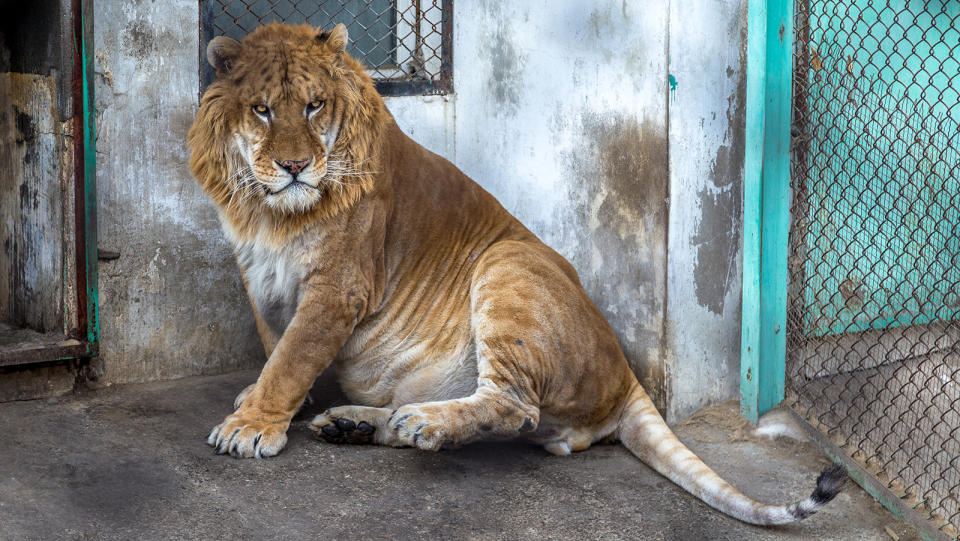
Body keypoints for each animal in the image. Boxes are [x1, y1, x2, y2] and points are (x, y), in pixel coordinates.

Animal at [184, 22, 844, 524]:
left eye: (314, 105)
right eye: (261, 111)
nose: (296, 166)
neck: (269, 215)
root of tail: (627, 372)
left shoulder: (338, 286)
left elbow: (293, 356)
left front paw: (252, 426)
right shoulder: (257, 273)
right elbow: (276, 342)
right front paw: (270, 406)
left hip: (509, 264)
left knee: (513, 406)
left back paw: (418, 422)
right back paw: (359, 423)